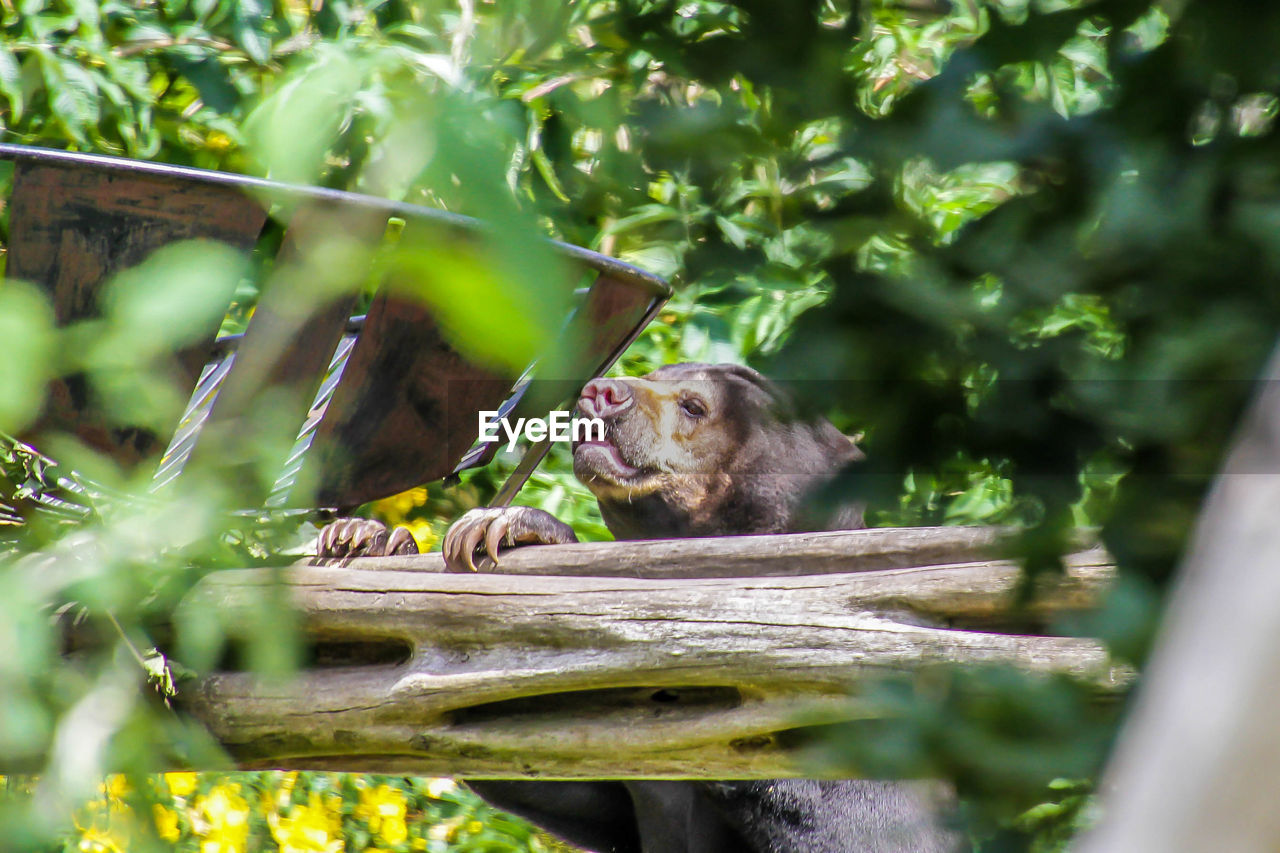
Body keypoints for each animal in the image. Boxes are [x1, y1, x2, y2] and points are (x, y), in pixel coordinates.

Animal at [314, 361, 957, 850]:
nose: (601, 392)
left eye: (693, 406)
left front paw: (514, 522)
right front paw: (366, 536)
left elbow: (842, 807)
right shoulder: (632, 786)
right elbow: (543, 762)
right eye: (652, 376)